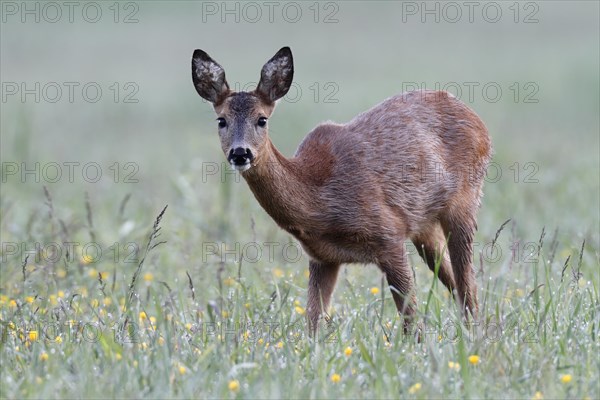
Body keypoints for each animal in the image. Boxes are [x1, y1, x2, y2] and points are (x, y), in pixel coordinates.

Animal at [192, 46, 492, 334]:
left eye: (262, 119)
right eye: (221, 120)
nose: (240, 153)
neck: (318, 200)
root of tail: (478, 120)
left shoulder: (389, 234)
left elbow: (411, 321)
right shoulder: (322, 258)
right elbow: (313, 324)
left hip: (465, 201)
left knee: (468, 286)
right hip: (424, 225)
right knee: (457, 282)